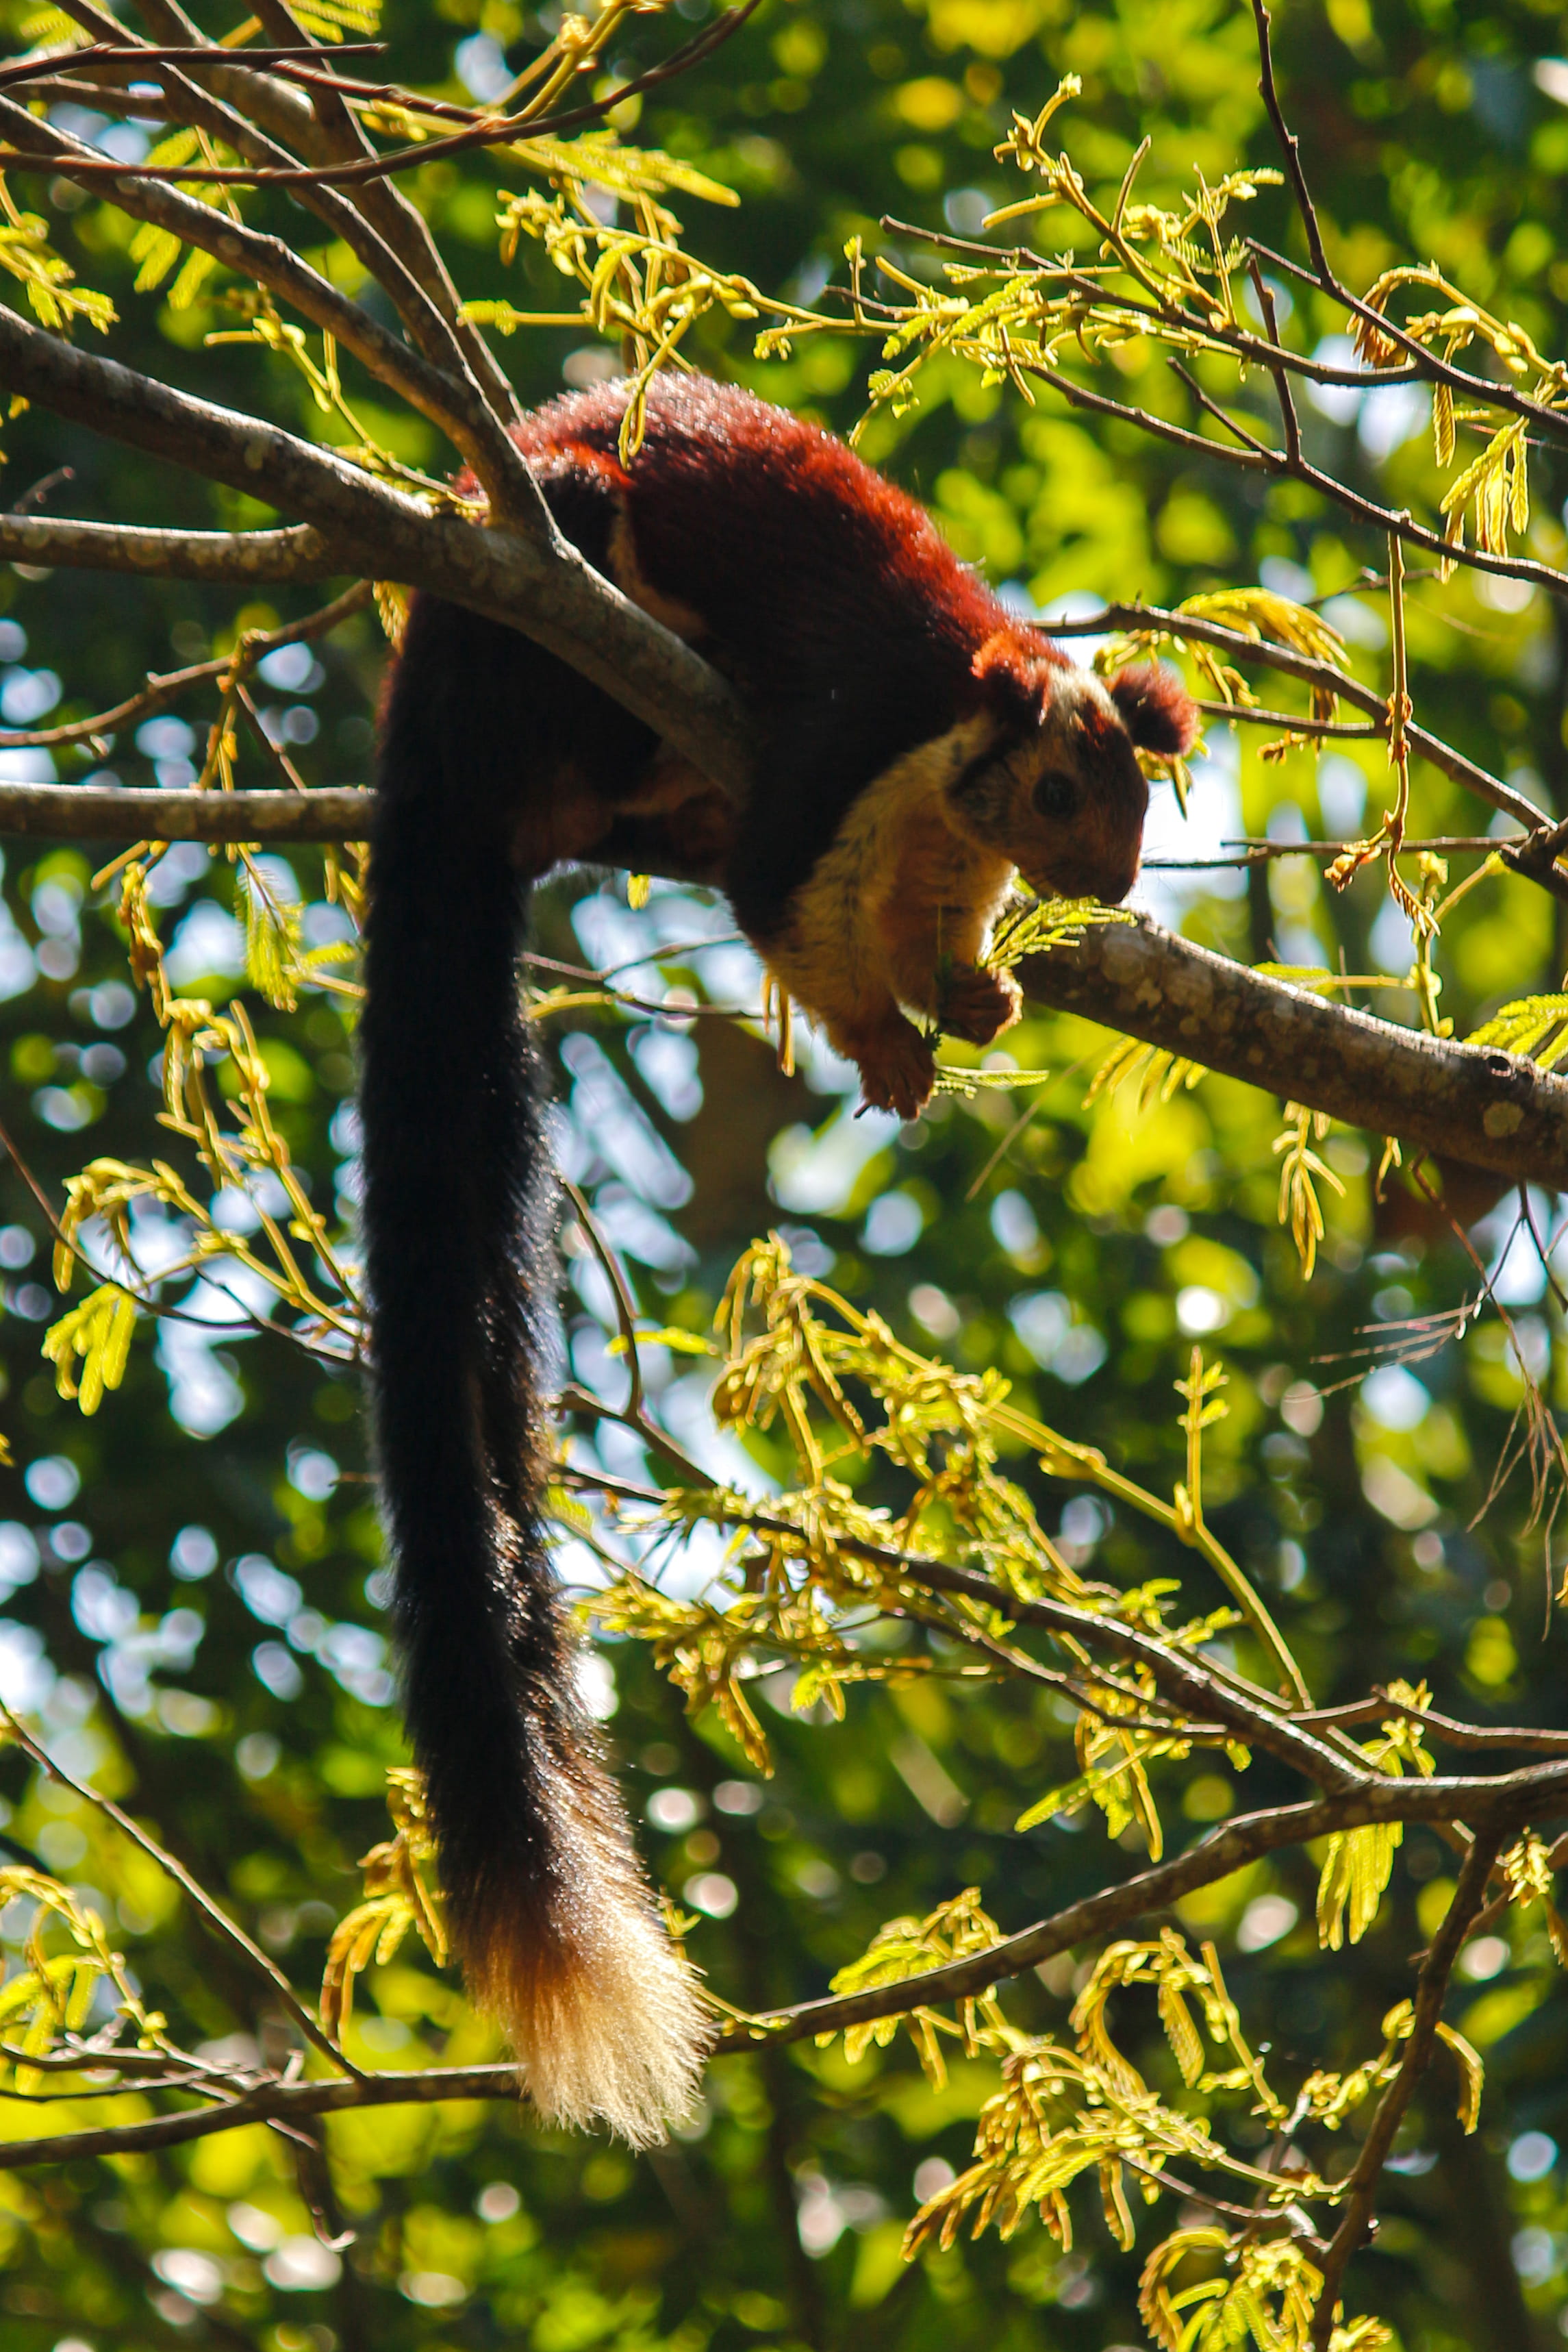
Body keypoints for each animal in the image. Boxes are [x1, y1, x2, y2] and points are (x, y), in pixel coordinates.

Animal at [358, 371, 1197, 2146]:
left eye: (1138, 801)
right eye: (1065, 797)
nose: (1108, 883)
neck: (956, 740)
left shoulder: (939, 843)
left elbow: (930, 926)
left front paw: (971, 996)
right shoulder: (843, 751)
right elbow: (784, 903)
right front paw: (882, 1039)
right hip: (543, 608)